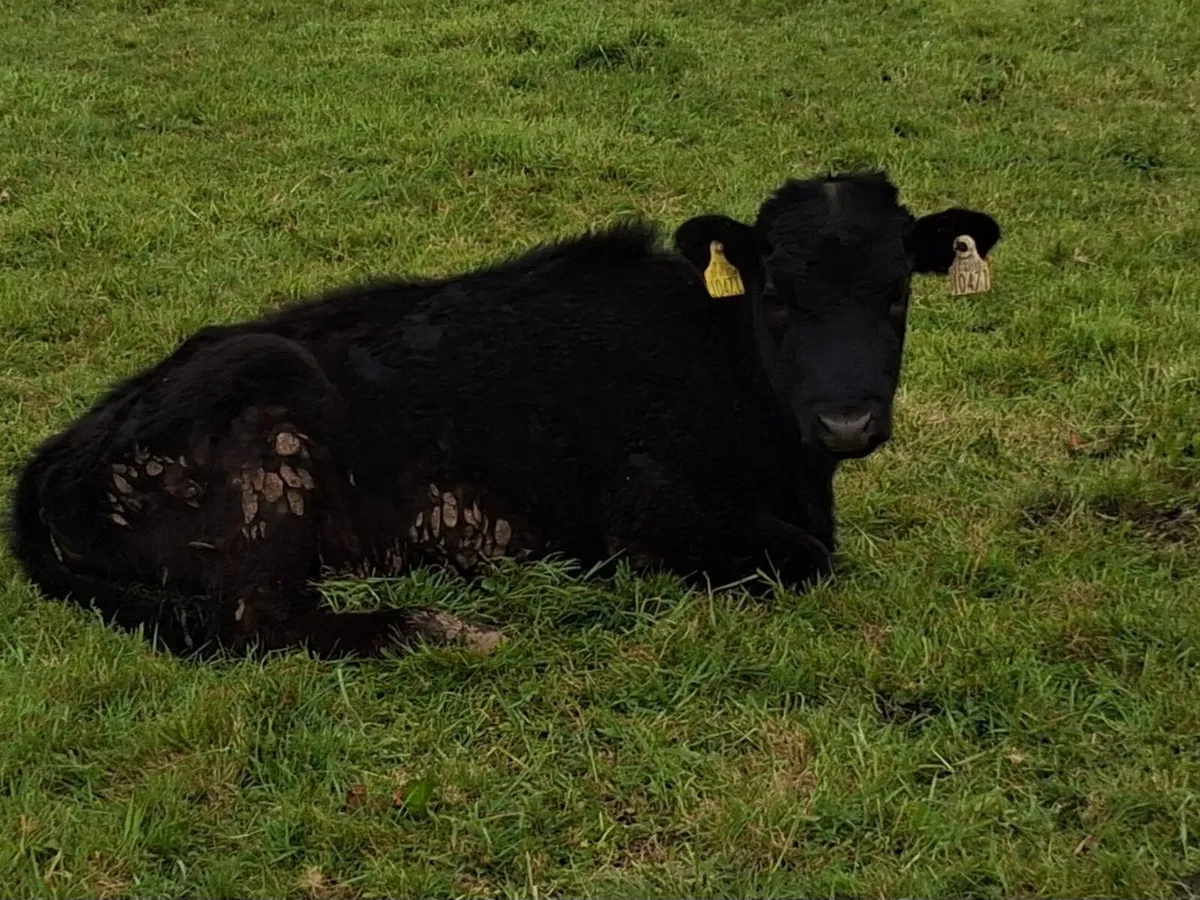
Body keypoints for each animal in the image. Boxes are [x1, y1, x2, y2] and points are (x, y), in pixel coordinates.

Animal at [7, 170, 1000, 659]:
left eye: (897, 294)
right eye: (779, 297)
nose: (847, 423)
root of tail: (58, 452)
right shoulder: (650, 517)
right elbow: (808, 560)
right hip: (265, 450)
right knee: (253, 624)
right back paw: (441, 630)